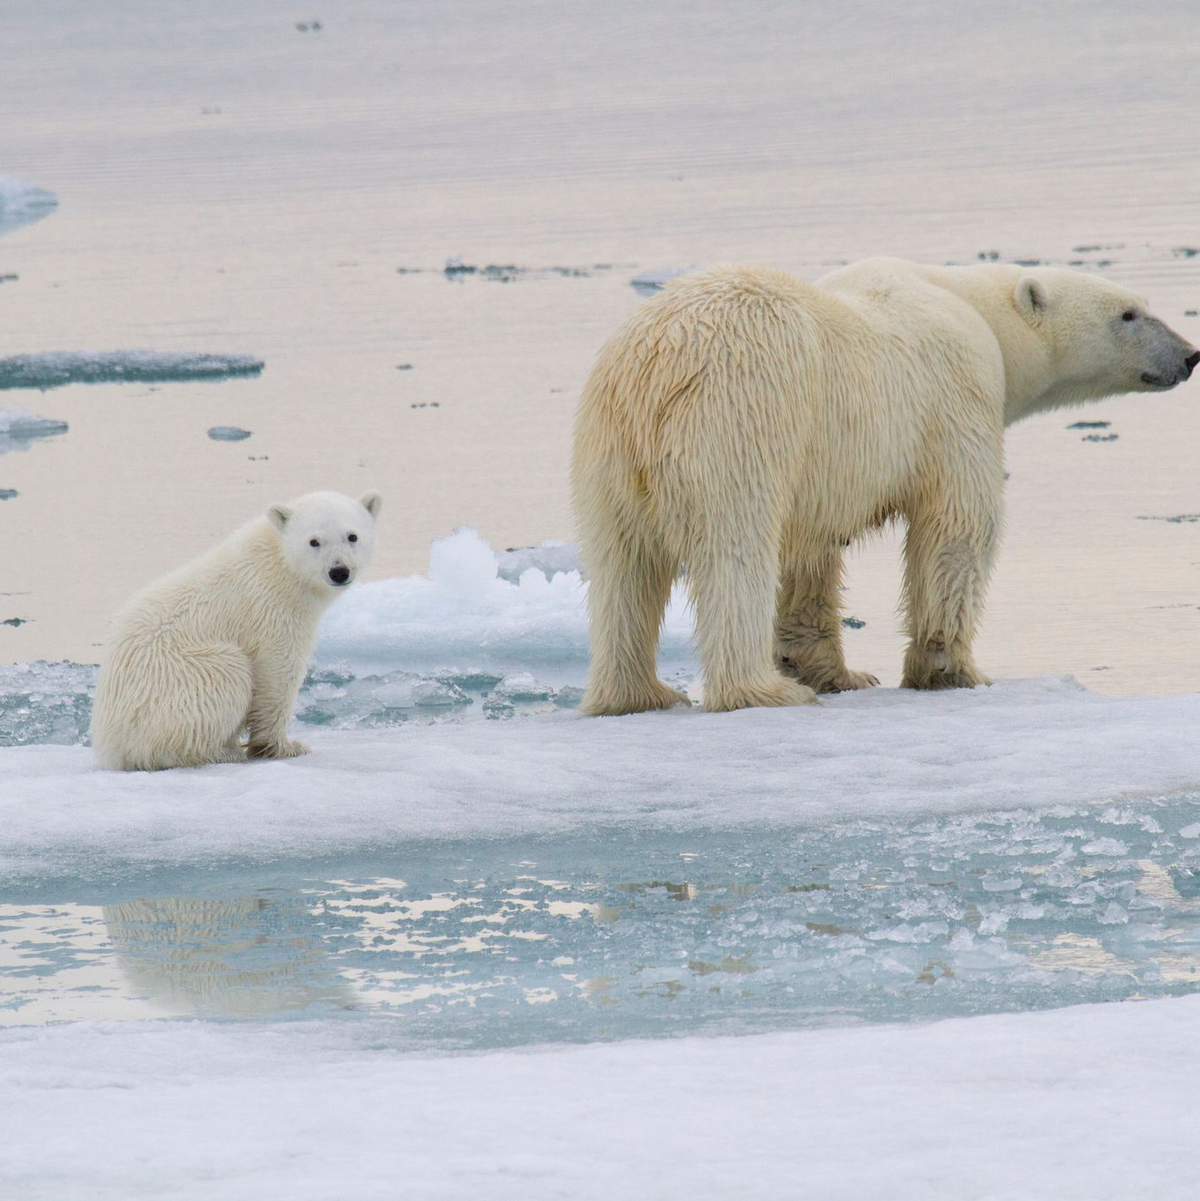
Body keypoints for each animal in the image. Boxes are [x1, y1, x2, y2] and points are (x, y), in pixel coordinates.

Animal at [90, 490, 382, 770]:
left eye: (352, 536)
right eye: (314, 541)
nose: (339, 571)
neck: (281, 565)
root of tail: (110, 748)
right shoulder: (272, 610)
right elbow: (279, 672)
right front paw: (286, 746)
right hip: (178, 681)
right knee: (228, 675)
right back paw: (222, 751)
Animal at [572, 258, 1198, 715]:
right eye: (1128, 313)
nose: (1190, 354)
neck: (974, 309)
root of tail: (655, 370)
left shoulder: (820, 469)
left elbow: (811, 553)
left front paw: (835, 671)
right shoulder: (956, 397)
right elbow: (957, 525)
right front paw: (951, 670)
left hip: (607, 449)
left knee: (621, 566)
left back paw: (638, 695)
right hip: (738, 420)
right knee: (735, 551)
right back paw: (760, 691)